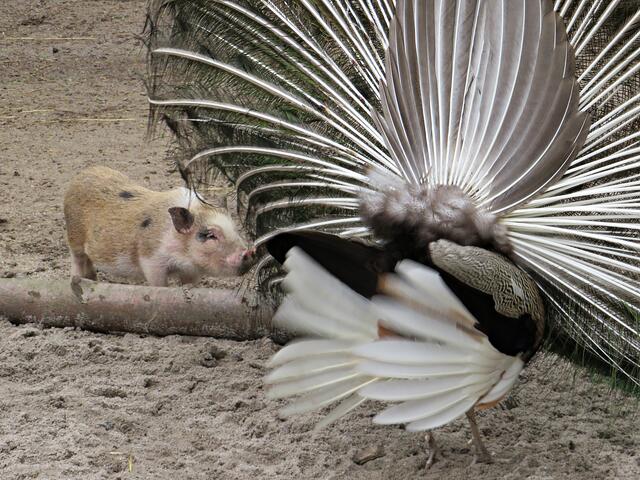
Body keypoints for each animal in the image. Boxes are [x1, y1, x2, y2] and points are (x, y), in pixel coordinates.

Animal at [63, 166, 254, 286]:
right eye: (209, 235)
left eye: (235, 229)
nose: (248, 252)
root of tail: (83, 173)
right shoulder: (151, 259)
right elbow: (159, 285)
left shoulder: (191, 271)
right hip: (74, 235)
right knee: (77, 259)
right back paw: (75, 280)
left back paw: (92, 281)